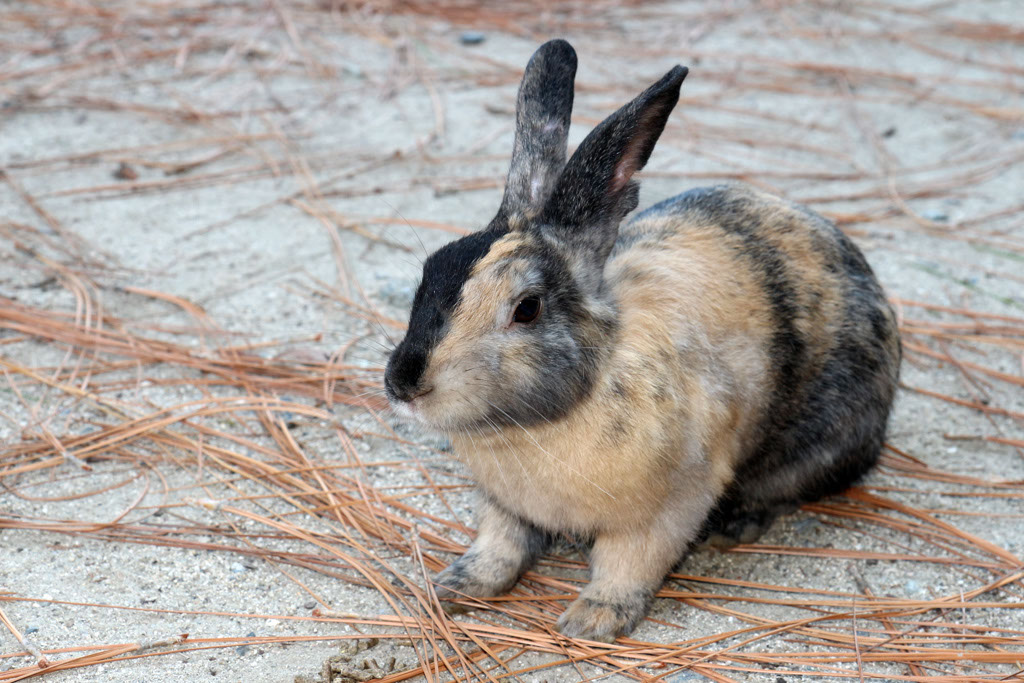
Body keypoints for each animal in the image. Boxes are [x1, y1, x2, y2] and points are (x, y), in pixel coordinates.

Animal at [383, 39, 901, 642]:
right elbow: (499, 546)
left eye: (527, 308)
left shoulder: (666, 511)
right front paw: (456, 586)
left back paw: (736, 524)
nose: (403, 384)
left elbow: (627, 565)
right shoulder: (504, 506)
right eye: (429, 272)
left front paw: (590, 621)